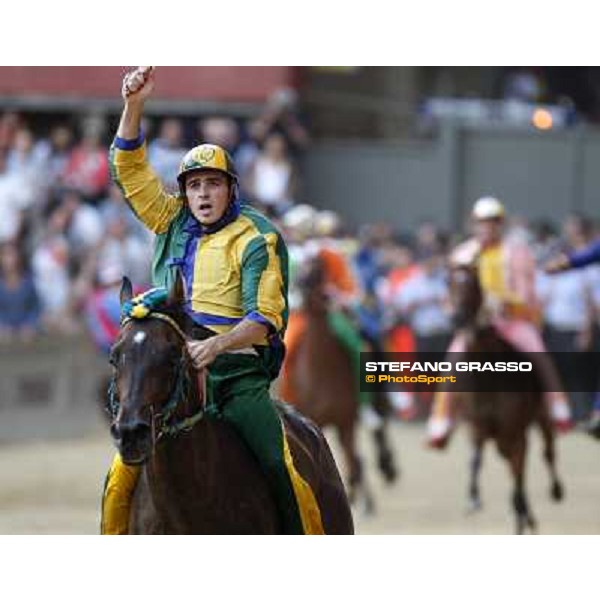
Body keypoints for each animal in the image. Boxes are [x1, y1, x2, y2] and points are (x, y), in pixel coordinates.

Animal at [288, 255, 398, 512]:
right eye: (296, 264)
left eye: (317, 267)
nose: (299, 289)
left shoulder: (346, 420)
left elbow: (353, 462)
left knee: (380, 422)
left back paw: (386, 467)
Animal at [448, 268, 564, 536]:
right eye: (449, 284)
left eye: (473, 286)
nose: (457, 318)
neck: (489, 377)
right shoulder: (477, 427)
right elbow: (475, 459)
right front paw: (473, 498)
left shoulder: (516, 433)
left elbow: (519, 478)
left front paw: (522, 516)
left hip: (541, 416)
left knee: (547, 452)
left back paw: (554, 491)